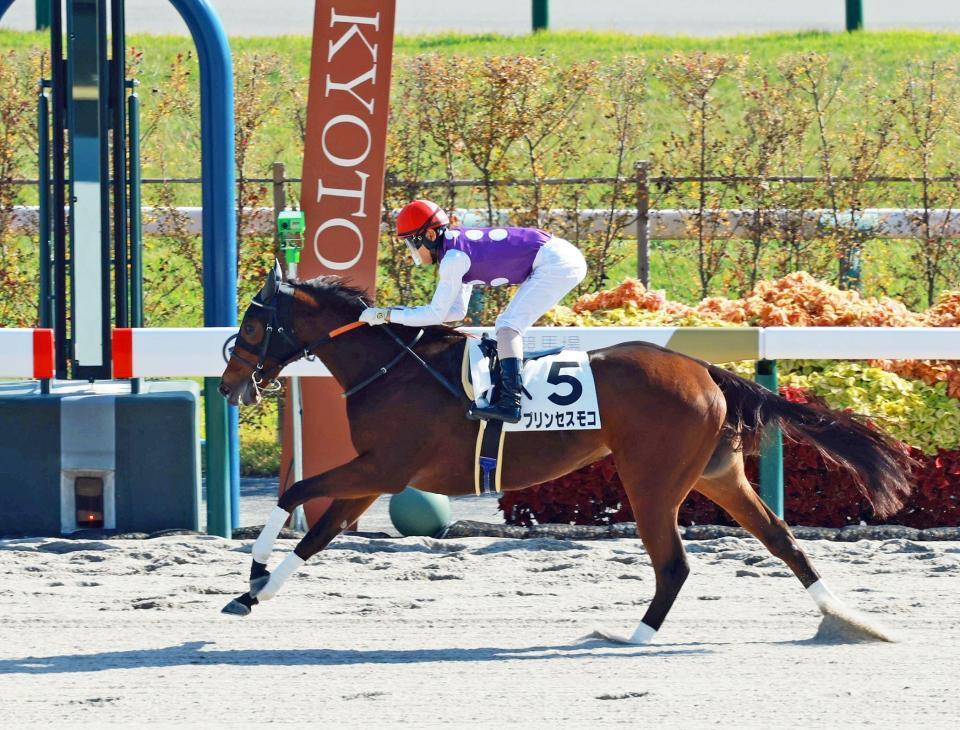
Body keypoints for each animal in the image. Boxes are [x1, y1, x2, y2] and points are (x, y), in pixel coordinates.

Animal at [217, 264, 913, 643]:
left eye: (252, 324)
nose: (228, 385)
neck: (391, 367)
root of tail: (703, 369)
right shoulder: (373, 476)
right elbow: (317, 533)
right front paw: (254, 592)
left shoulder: (383, 467)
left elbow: (294, 493)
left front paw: (252, 575)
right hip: (718, 474)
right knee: (782, 540)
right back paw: (849, 619)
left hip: (652, 479)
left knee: (675, 564)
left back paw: (632, 636)